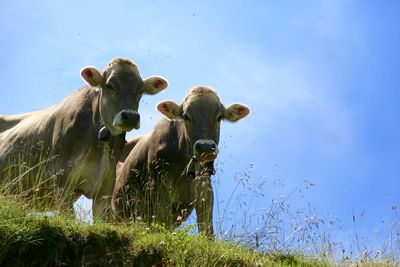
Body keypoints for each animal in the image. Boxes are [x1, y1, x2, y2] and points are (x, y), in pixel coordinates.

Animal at [112, 86, 248, 239]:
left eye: (219, 117)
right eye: (186, 116)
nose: (206, 147)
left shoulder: (205, 188)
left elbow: (207, 230)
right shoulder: (159, 187)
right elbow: (162, 222)